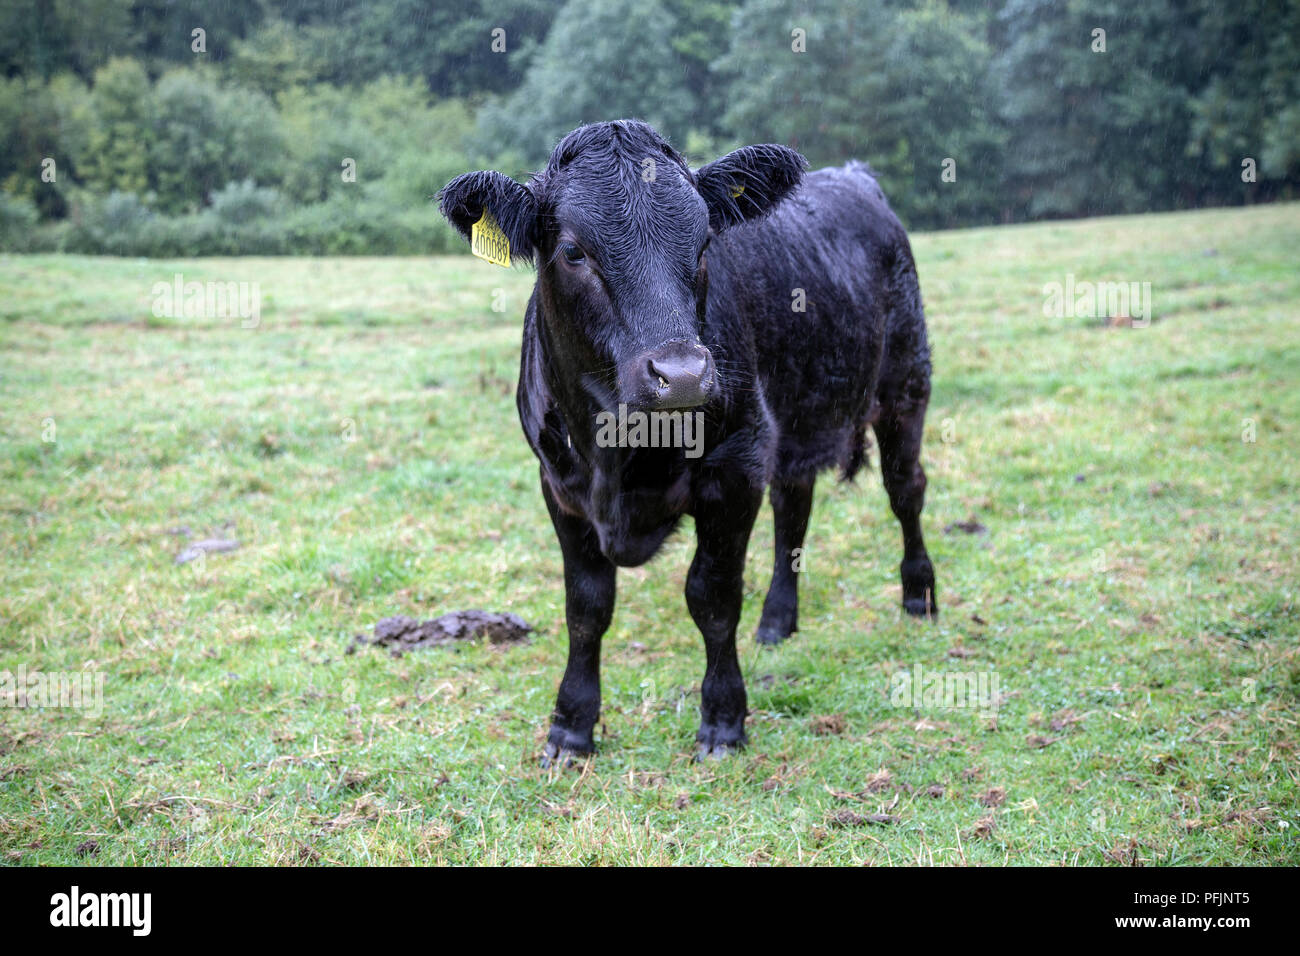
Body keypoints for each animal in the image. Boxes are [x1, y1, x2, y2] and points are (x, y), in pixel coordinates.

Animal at [441, 119, 941, 764]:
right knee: (794, 510)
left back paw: (918, 596)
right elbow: (586, 607)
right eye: (574, 251)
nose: (680, 375)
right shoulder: (560, 485)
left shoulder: (734, 469)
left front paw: (723, 719)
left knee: (906, 490)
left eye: (703, 244)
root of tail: (853, 175)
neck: (618, 452)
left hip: (905, 383)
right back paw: (777, 621)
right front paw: (570, 727)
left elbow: (712, 597)